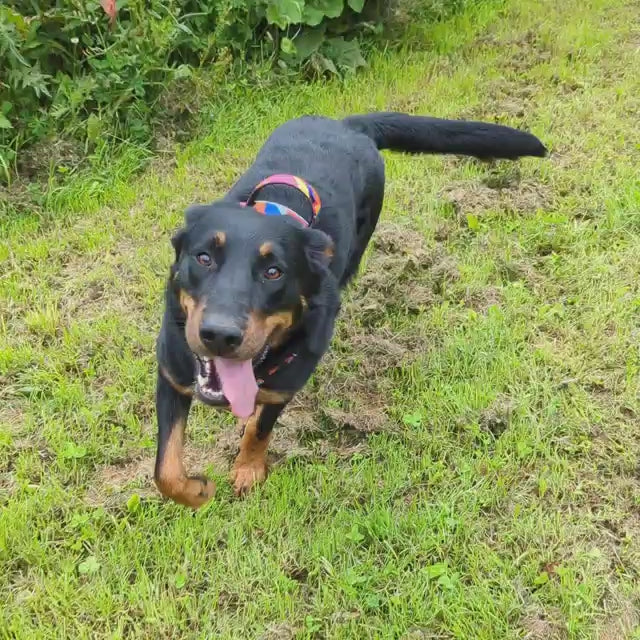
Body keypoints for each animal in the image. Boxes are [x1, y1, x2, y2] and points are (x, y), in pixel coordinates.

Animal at [154, 112, 544, 508]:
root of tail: (348, 125)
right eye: (203, 257)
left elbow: (260, 428)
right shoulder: (171, 371)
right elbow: (166, 470)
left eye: (274, 272)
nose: (219, 335)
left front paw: (248, 468)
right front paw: (197, 491)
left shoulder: (285, 386)